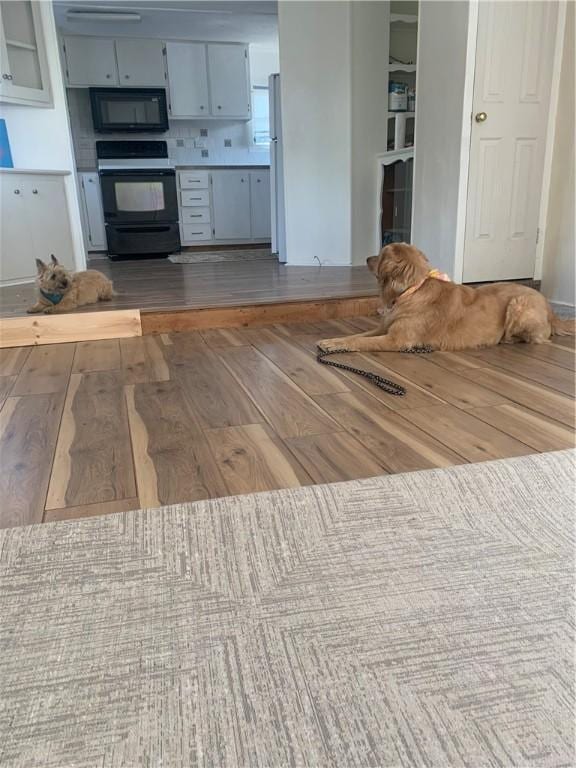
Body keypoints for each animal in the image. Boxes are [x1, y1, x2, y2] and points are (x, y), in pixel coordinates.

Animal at [318, 243, 572, 354]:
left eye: (380, 255)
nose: (366, 258)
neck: (412, 290)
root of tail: (550, 308)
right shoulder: (384, 329)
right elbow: (356, 335)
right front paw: (332, 340)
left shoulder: (397, 340)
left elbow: (360, 342)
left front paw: (334, 345)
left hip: (520, 304)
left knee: (537, 339)